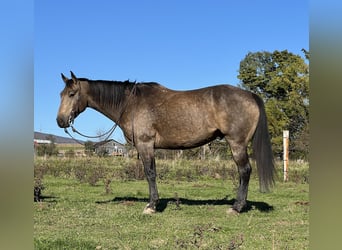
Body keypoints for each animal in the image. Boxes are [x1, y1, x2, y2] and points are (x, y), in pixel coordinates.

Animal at [56, 71, 276, 214]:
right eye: (61, 94)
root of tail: (250, 95)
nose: (60, 121)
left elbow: (150, 173)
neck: (131, 103)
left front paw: (151, 205)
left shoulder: (145, 145)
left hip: (237, 143)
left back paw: (236, 207)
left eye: (72, 94)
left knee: (245, 171)